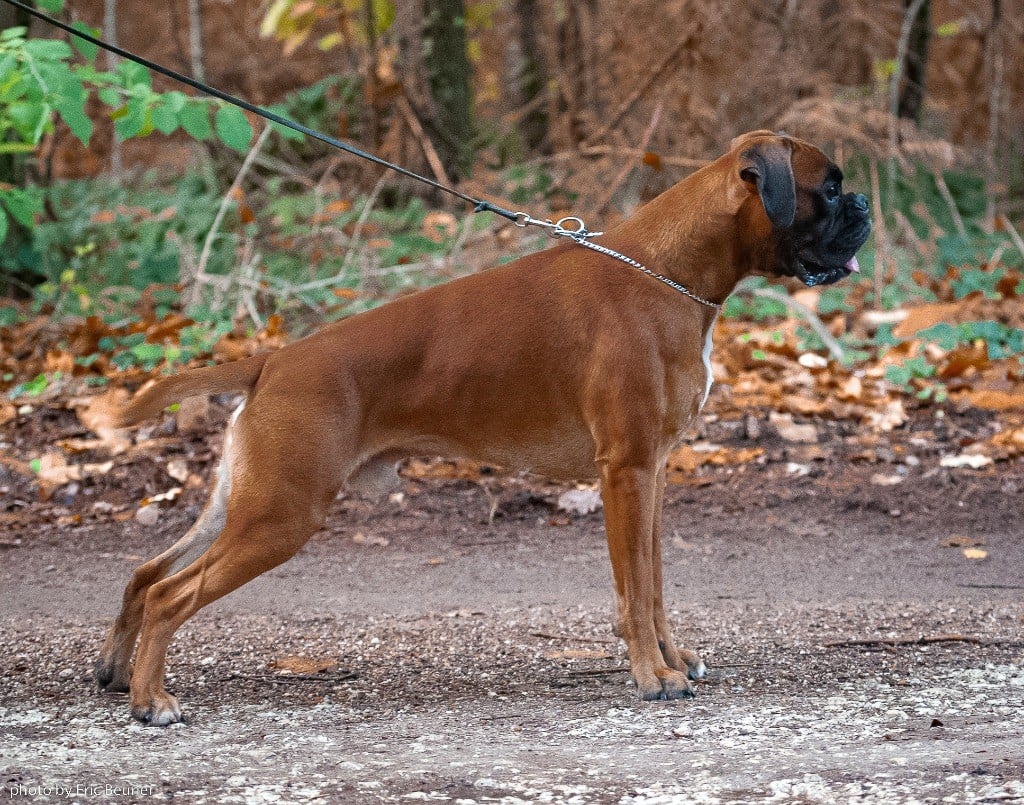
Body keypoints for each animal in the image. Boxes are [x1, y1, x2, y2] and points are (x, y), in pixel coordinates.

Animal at [94, 130, 871, 725]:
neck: (665, 270)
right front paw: (653, 676)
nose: (865, 204)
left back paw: (116, 671)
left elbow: (651, 587)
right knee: (169, 593)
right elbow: (635, 589)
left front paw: (672, 661)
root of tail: (274, 358)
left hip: (242, 503)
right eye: (828, 190)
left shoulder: (651, 475)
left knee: (145, 572)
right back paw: (151, 700)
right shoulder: (625, 471)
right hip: (281, 515)